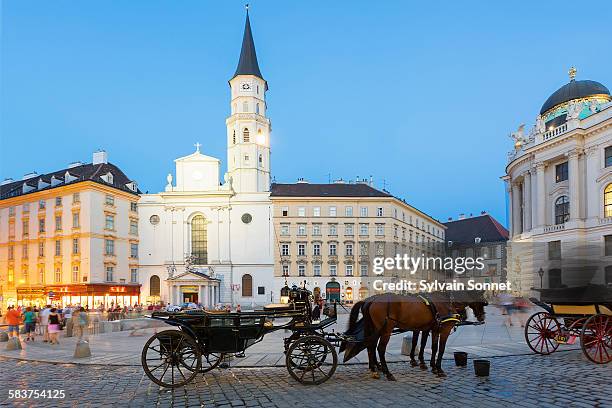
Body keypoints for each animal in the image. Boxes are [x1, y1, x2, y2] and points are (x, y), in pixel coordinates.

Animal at [346, 290, 486, 380]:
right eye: (483, 302)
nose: (482, 318)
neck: (446, 302)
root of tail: (371, 300)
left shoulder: (431, 329)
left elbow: (430, 347)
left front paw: (431, 366)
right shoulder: (443, 331)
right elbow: (440, 349)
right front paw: (438, 369)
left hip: (375, 329)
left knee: (370, 345)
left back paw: (374, 369)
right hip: (386, 330)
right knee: (380, 348)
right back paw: (387, 372)